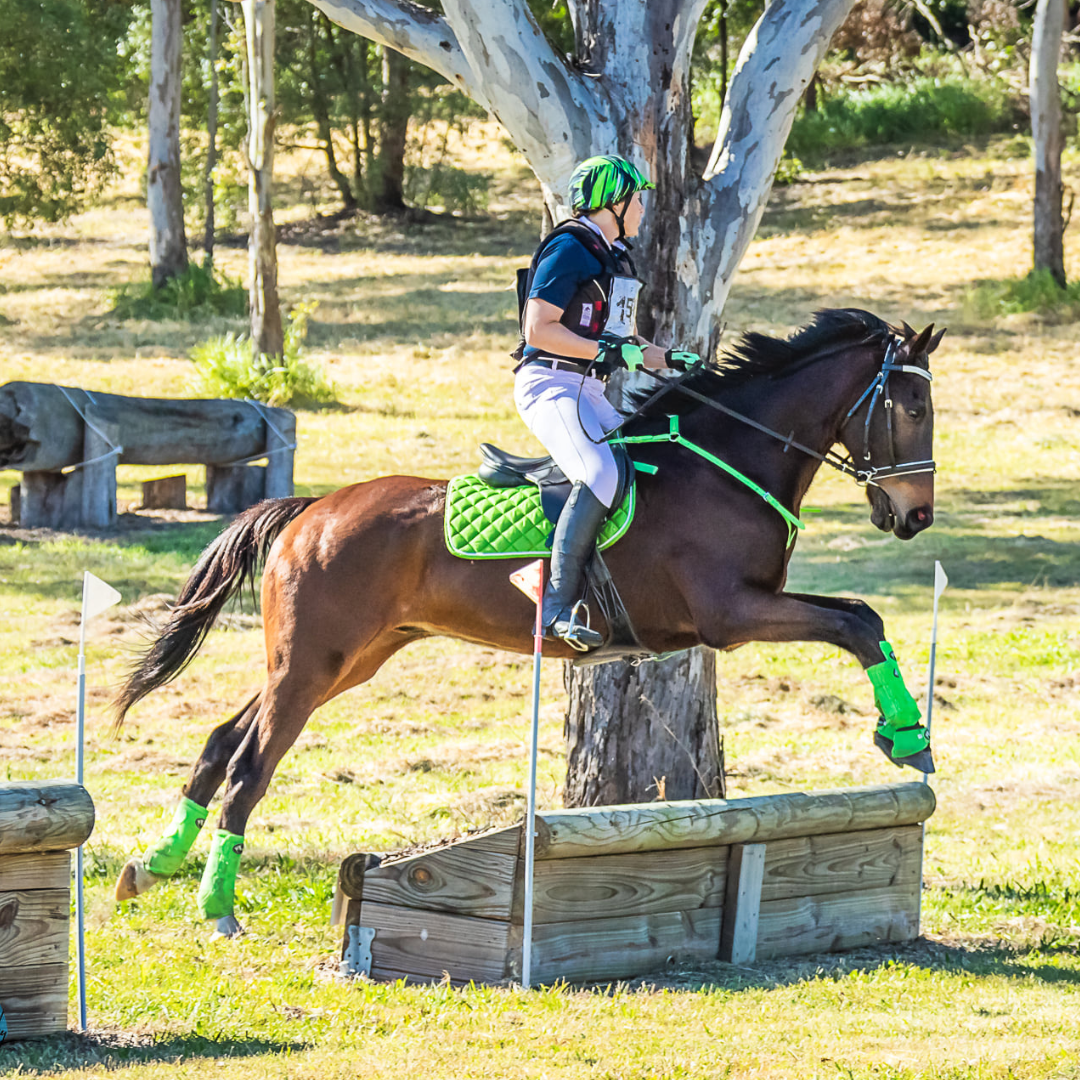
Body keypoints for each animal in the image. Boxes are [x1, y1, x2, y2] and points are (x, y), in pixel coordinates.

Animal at [113, 308, 941, 933]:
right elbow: (858, 622)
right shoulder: (732, 613)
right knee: (250, 763)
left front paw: (904, 732)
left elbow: (860, 617)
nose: (916, 517)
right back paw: (216, 907)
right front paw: (908, 740)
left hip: (345, 660)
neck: (726, 464)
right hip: (315, 661)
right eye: (911, 409)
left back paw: (152, 867)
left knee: (222, 740)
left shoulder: (747, 608)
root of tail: (310, 509)